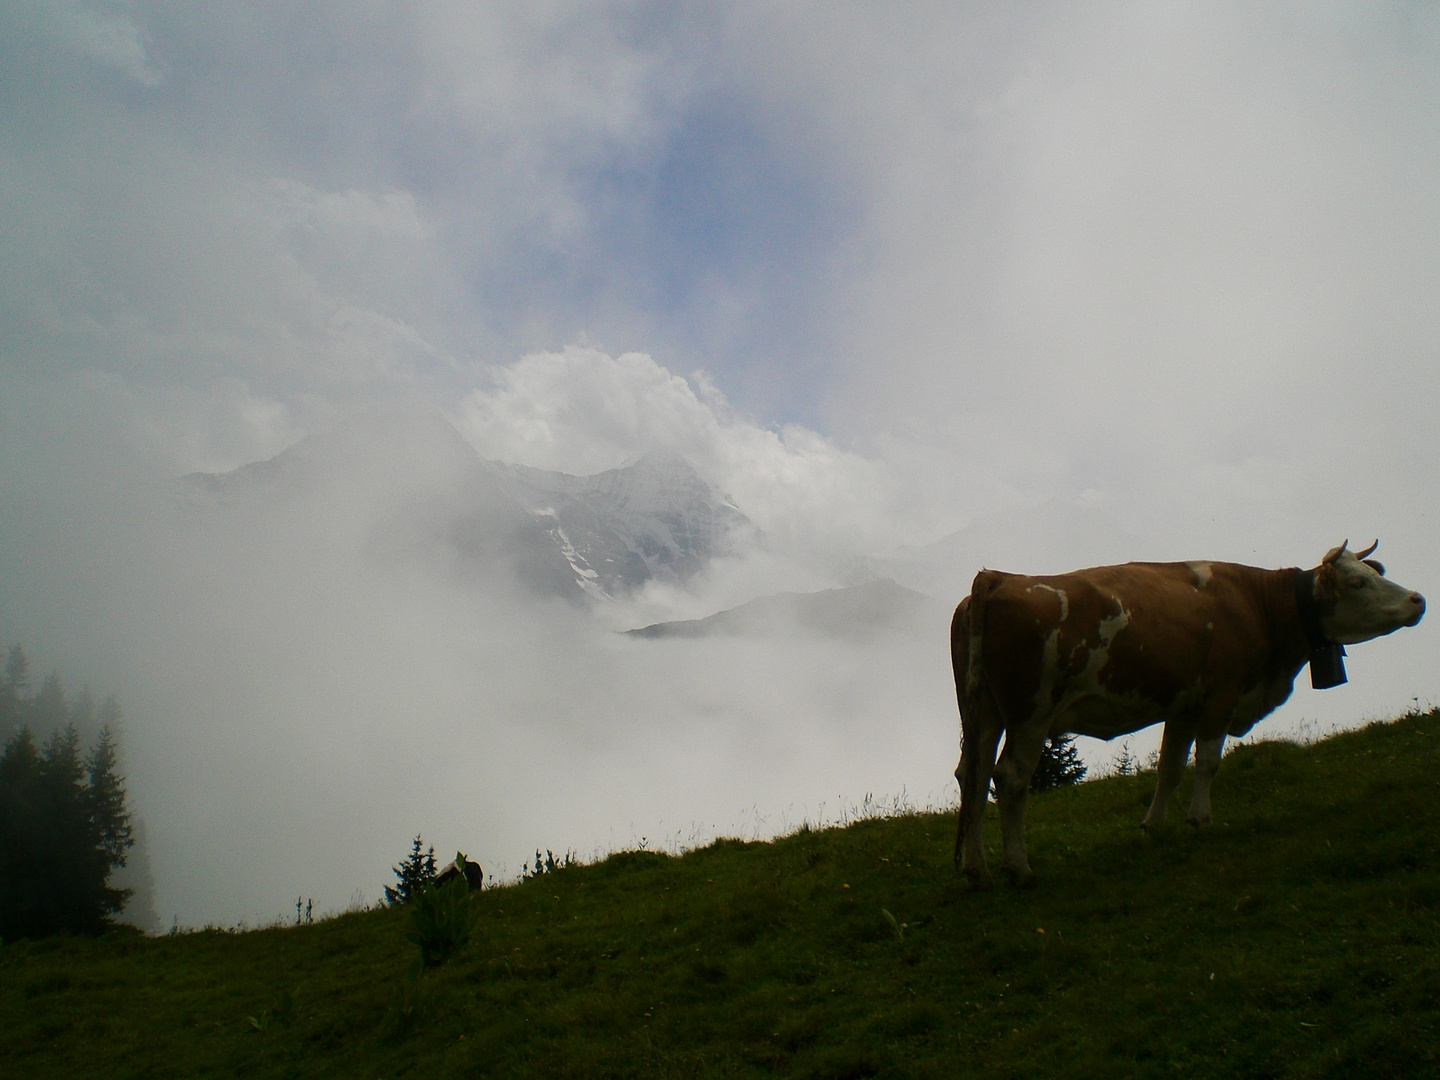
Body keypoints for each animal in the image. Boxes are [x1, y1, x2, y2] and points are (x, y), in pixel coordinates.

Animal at [950, 541, 1422, 887]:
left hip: (983, 714)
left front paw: (1153, 826)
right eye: (1358, 582)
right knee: (1010, 777)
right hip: (1031, 713)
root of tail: (998, 578)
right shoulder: (1221, 695)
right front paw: (1201, 819)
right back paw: (1018, 868)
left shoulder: (1183, 706)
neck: (1256, 604)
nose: (1418, 600)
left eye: (1376, 574)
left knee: (973, 774)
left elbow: (1170, 768)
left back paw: (976, 868)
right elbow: (1208, 761)